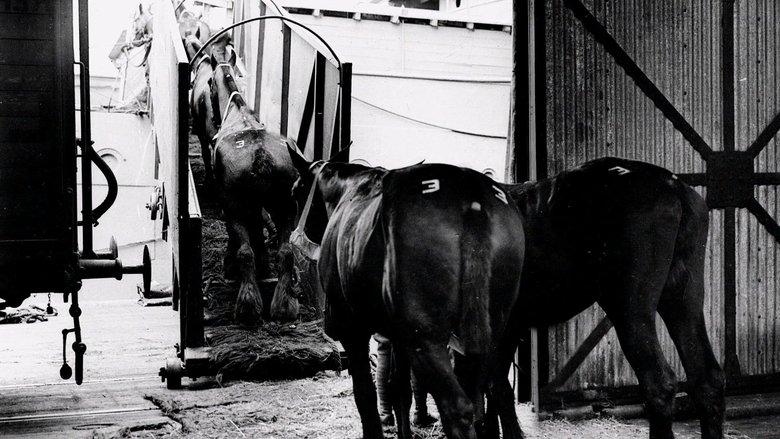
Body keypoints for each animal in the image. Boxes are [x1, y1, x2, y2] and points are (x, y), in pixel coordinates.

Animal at [209, 49, 298, 325]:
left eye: (209, 82)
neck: (239, 113)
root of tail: (260, 153)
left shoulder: (230, 202)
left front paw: (230, 266)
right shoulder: (258, 205)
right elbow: (259, 228)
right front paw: (265, 266)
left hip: (236, 205)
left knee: (245, 251)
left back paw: (248, 306)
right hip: (285, 206)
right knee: (286, 251)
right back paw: (284, 305)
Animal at [286, 146, 526, 439]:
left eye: (295, 192)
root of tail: (471, 198)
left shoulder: (352, 331)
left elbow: (364, 395)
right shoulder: (397, 335)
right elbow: (399, 388)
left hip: (426, 337)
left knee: (458, 408)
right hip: (493, 331)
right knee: (495, 391)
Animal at [487, 157, 724, 439]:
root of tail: (672, 185)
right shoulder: (508, 328)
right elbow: (494, 388)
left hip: (629, 308)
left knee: (659, 382)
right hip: (683, 297)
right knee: (707, 379)